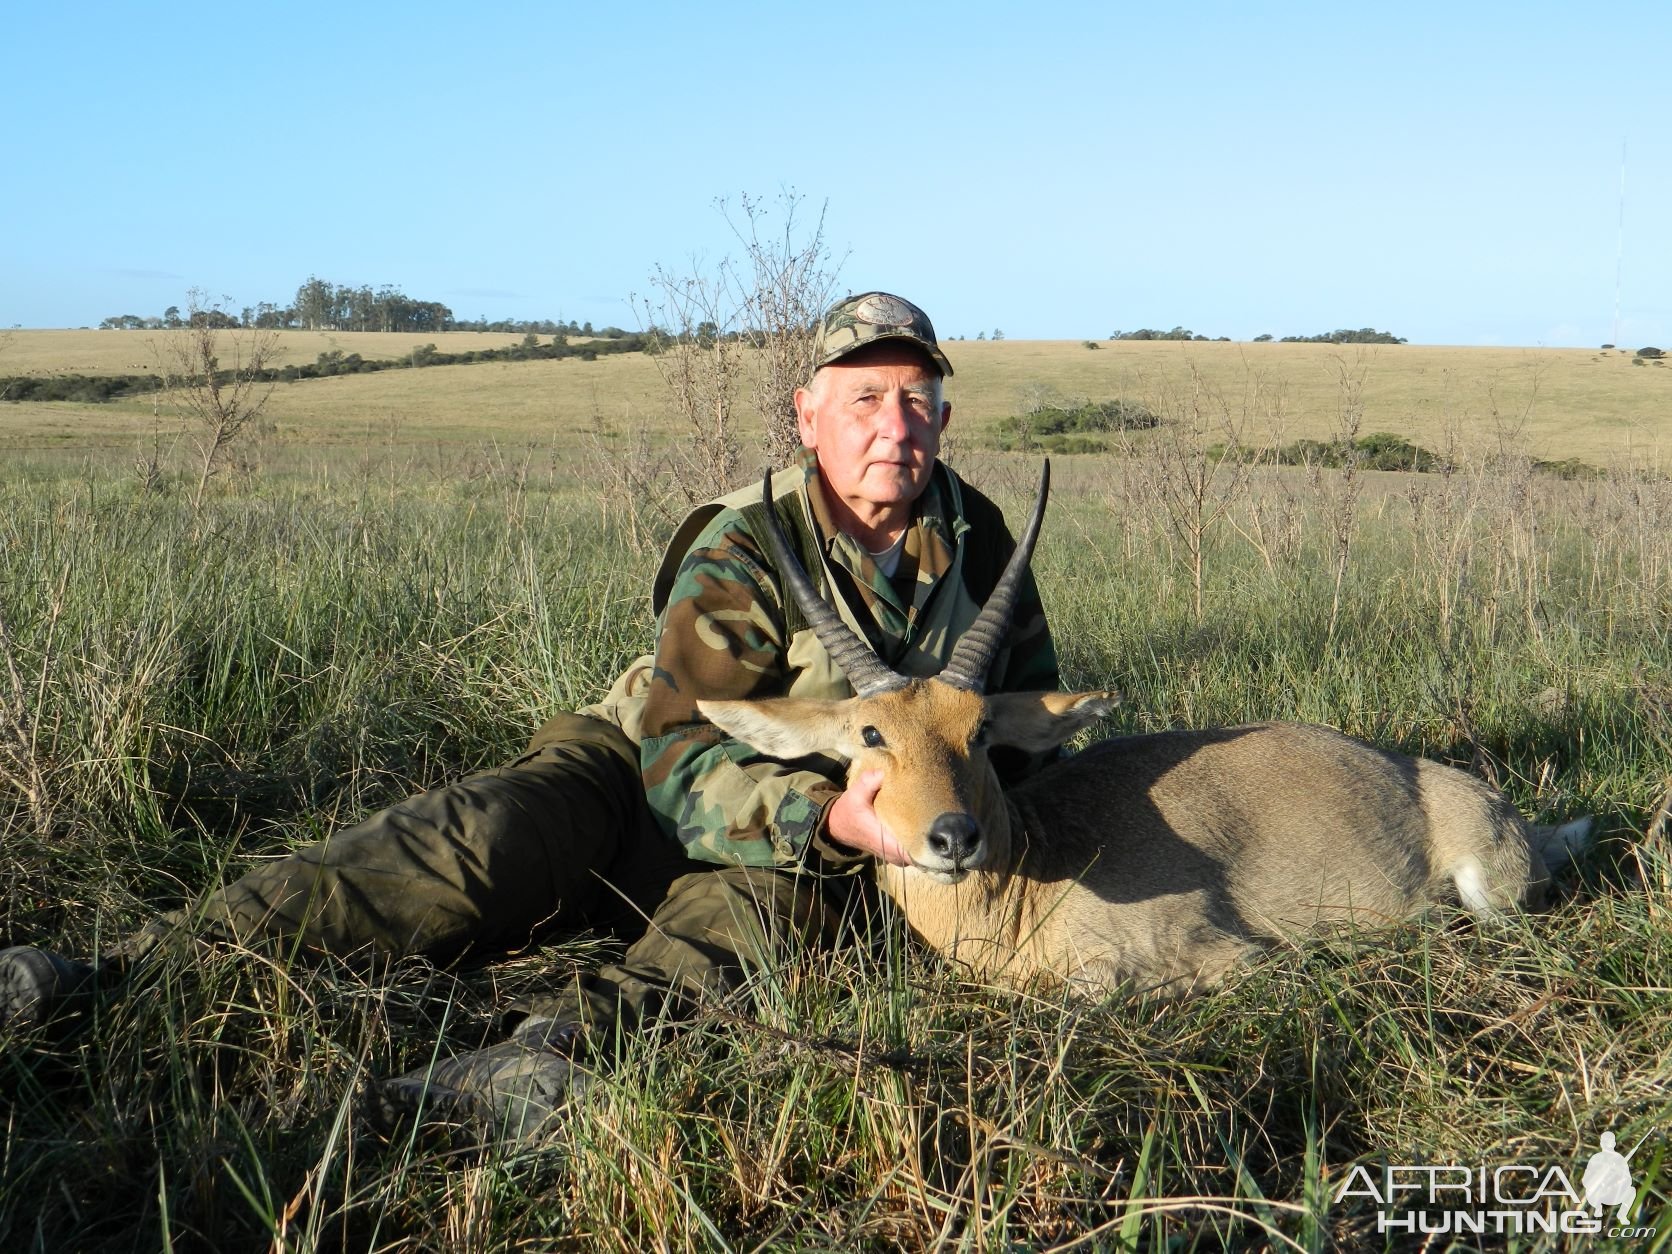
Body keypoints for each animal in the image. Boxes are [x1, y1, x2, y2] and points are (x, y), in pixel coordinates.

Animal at [698, 468, 1585, 996]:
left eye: (980, 729)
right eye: (870, 736)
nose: (952, 837)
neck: (1033, 872)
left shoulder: (1202, 959)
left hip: (1492, 899)